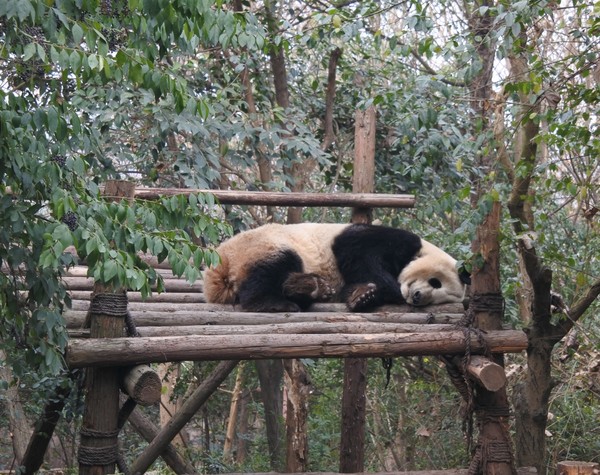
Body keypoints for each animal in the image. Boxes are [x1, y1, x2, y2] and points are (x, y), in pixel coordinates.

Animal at [203, 223, 470, 312]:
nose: (417, 297)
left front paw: (363, 295)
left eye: (438, 297)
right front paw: (379, 291)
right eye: (436, 282)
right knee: (274, 265)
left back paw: (312, 288)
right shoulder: (392, 241)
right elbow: (355, 252)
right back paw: (274, 302)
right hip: (262, 245)